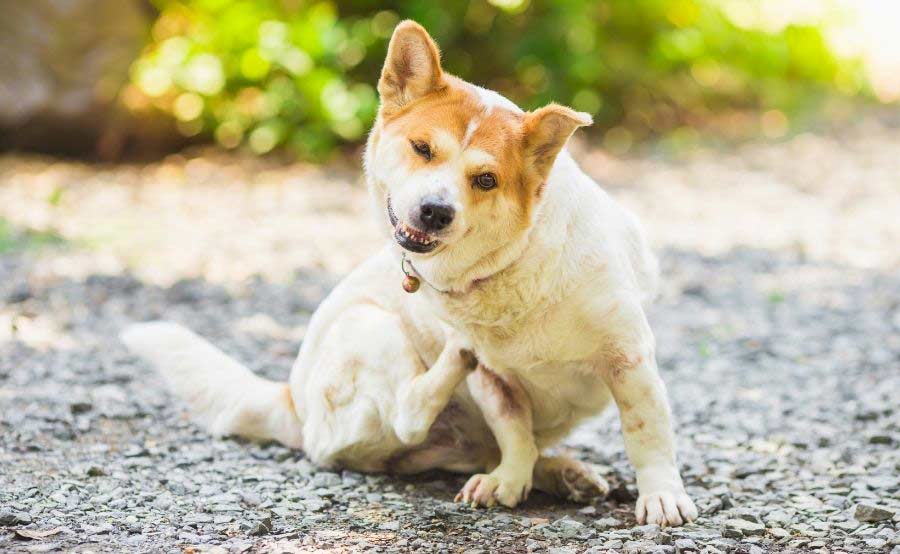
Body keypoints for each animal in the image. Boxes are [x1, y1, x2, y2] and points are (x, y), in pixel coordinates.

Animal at [121, 19, 696, 524]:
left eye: (485, 179)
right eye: (422, 148)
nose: (435, 211)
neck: (513, 264)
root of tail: (291, 402)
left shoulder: (628, 358)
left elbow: (645, 431)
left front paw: (660, 496)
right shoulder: (494, 381)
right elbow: (513, 430)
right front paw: (511, 479)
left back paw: (561, 473)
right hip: (369, 327)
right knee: (409, 413)